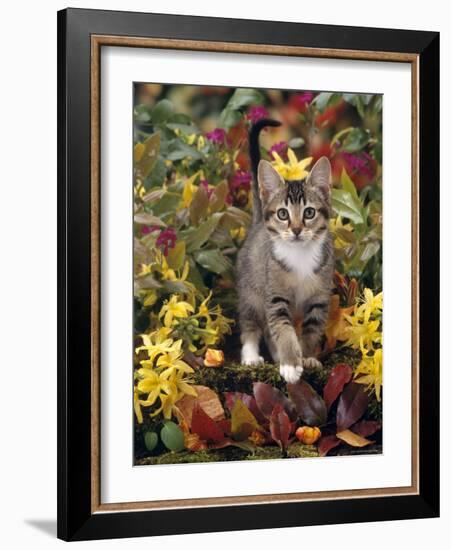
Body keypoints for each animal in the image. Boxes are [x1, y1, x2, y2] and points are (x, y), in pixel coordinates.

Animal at [238, 117, 334, 384]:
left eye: (309, 212)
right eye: (283, 214)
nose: (297, 229)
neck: (300, 255)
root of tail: (257, 223)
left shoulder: (319, 300)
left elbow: (310, 330)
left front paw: (306, 357)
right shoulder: (275, 297)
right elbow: (283, 329)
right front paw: (291, 363)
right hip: (250, 290)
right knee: (251, 324)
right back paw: (251, 355)